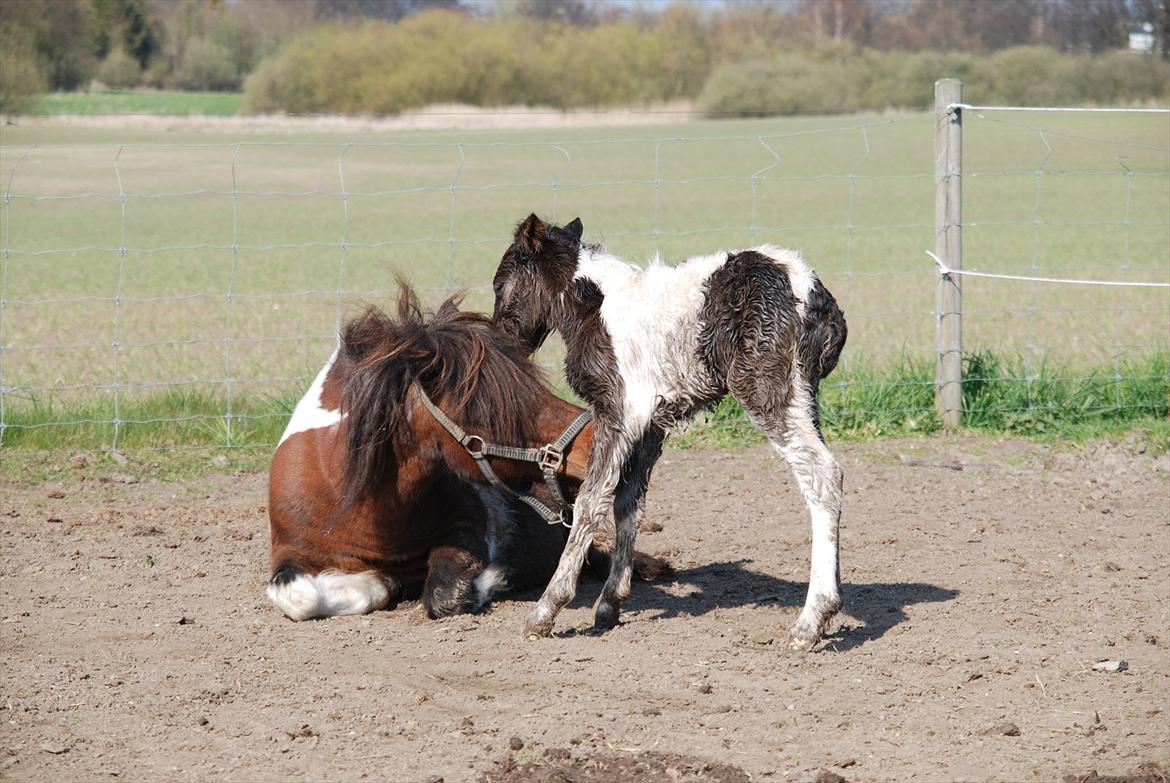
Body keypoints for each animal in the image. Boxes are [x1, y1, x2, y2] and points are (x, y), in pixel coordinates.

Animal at [267, 284, 669, 617]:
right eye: (485, 410)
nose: (603, 441)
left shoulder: (472, 524)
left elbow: (445, 594)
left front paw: (491, 581)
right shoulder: (287, 554)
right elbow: (301, 597)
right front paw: (378, 581)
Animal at [489, 211, 847, 646]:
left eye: (499, 285)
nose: (501, 344)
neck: (595, 305)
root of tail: (812, 292)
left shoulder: (615, 410)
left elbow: (590, 501)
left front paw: (545, 611)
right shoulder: (651, 425)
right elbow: (628, 503)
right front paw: (609, 604)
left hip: (766, 391)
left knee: (822, 474)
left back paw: (811, 621)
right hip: (805, 396)